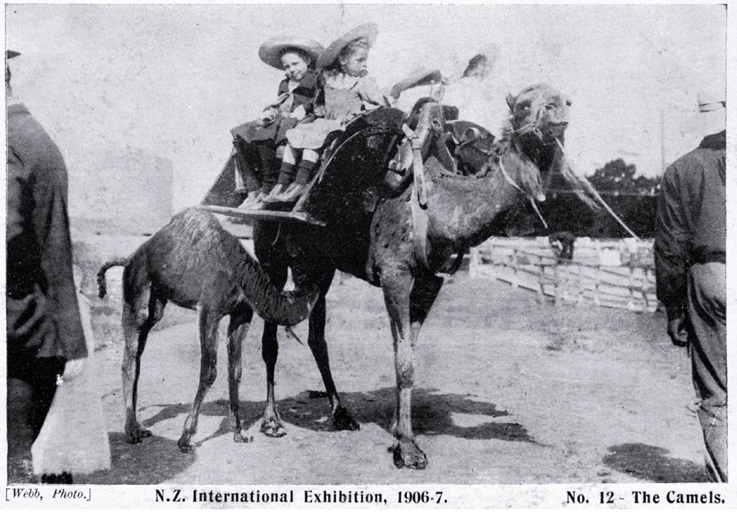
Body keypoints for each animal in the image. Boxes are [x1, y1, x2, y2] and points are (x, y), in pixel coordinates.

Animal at [96, 208, 318, 452]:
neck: (241, 274)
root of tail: (128, 258)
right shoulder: (210, 310)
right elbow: (209, 370)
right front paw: (186, 437)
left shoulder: (242, 313)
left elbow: (235, 370)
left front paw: (239, 432)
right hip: (137, 292)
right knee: (129, 358)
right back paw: (131, 431)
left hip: (157, 304)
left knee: (138, 355)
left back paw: (140, 427)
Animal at [247, 84, 588, 468]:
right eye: (525, 105)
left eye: (565, 99)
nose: (559, 108)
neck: (438, 206)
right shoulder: (394, 273)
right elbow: (404, 361)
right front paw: (408, 448)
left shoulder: (429, 281)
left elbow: (406, 351)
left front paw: (399, 430)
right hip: (272, 252)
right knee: (271, 333)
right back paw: (272, 421)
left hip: (319, 263)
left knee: (317, 335)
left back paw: (341, 413)